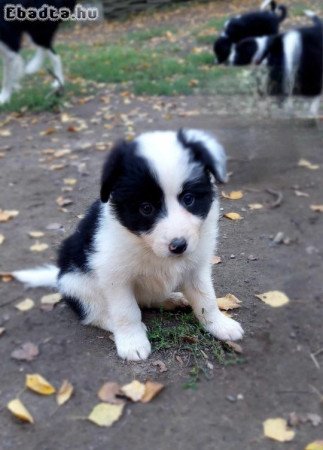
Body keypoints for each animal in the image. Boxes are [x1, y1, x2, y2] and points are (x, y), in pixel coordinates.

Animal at [13, 130, 244, 362]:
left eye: (188, 199)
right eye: (146, 208)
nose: (178, 246)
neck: (148, 246)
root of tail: (58, 275)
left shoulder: (197, 266)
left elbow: (206, 298)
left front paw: (220, 325)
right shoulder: (115, 277)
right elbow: (126, 312)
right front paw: (132, 342)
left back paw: (172, 299)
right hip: (78, 285)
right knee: (95, 314)